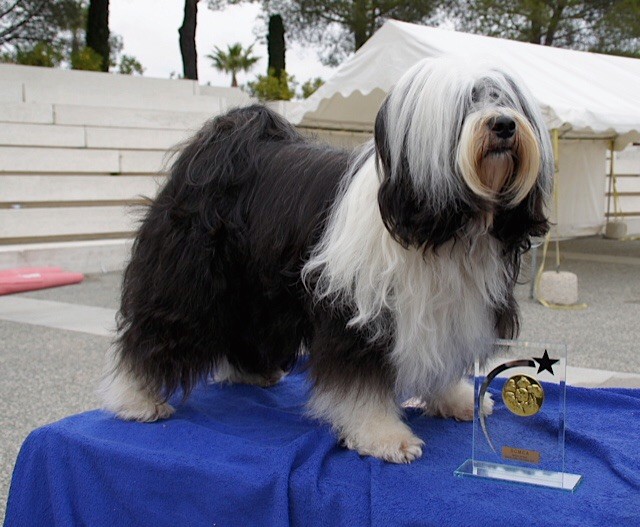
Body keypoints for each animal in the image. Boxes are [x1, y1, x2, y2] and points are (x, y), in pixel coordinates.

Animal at [102, 55, 552, 464]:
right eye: (465, 104)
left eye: (504, 98)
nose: (504, 125)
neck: (442, 227)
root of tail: (224, 142)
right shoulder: (359, 314)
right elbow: (360, 383)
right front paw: (383, 435)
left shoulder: (448, 310)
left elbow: (441, 357)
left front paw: (455, 398)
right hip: (187, 279)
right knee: (157, 331)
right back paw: (137, 398)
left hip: (256, 287)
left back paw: (252, 371)